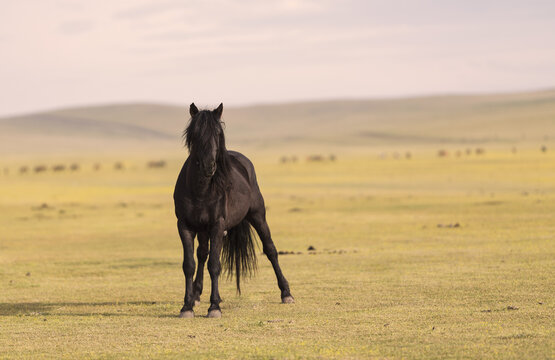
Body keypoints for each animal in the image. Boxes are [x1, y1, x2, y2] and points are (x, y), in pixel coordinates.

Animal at [174, 102, 296, 318]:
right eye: (195, 133)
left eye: (218, 133)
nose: (209, 165)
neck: (201, 189)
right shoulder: (185, 226)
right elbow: (189, 265)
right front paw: (187, 306)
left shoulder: (217, 225)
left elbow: (215, 265)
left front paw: (214, 307)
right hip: (204, 230)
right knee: (202, 254)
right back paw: (196, 295)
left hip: (257, 215)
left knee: (271, 250)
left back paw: (286, 293)